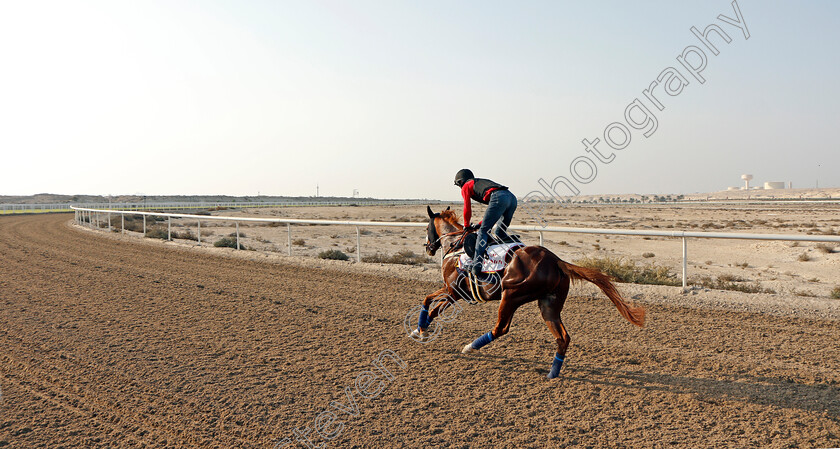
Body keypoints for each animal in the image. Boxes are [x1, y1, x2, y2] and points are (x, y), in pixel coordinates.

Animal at [412, 206, 644, 378]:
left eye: (427, 227)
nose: (428, 247)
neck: (456, 246)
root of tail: (556, 260)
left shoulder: (454, 291)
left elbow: (431, 307)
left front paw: (422, 331)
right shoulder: (451, 291)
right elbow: (428, 301)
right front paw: (418, 330)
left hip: (511, 295)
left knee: (501, 328)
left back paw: (470, 347)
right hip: (549, 305)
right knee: (563, 337)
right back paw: (552, 373)